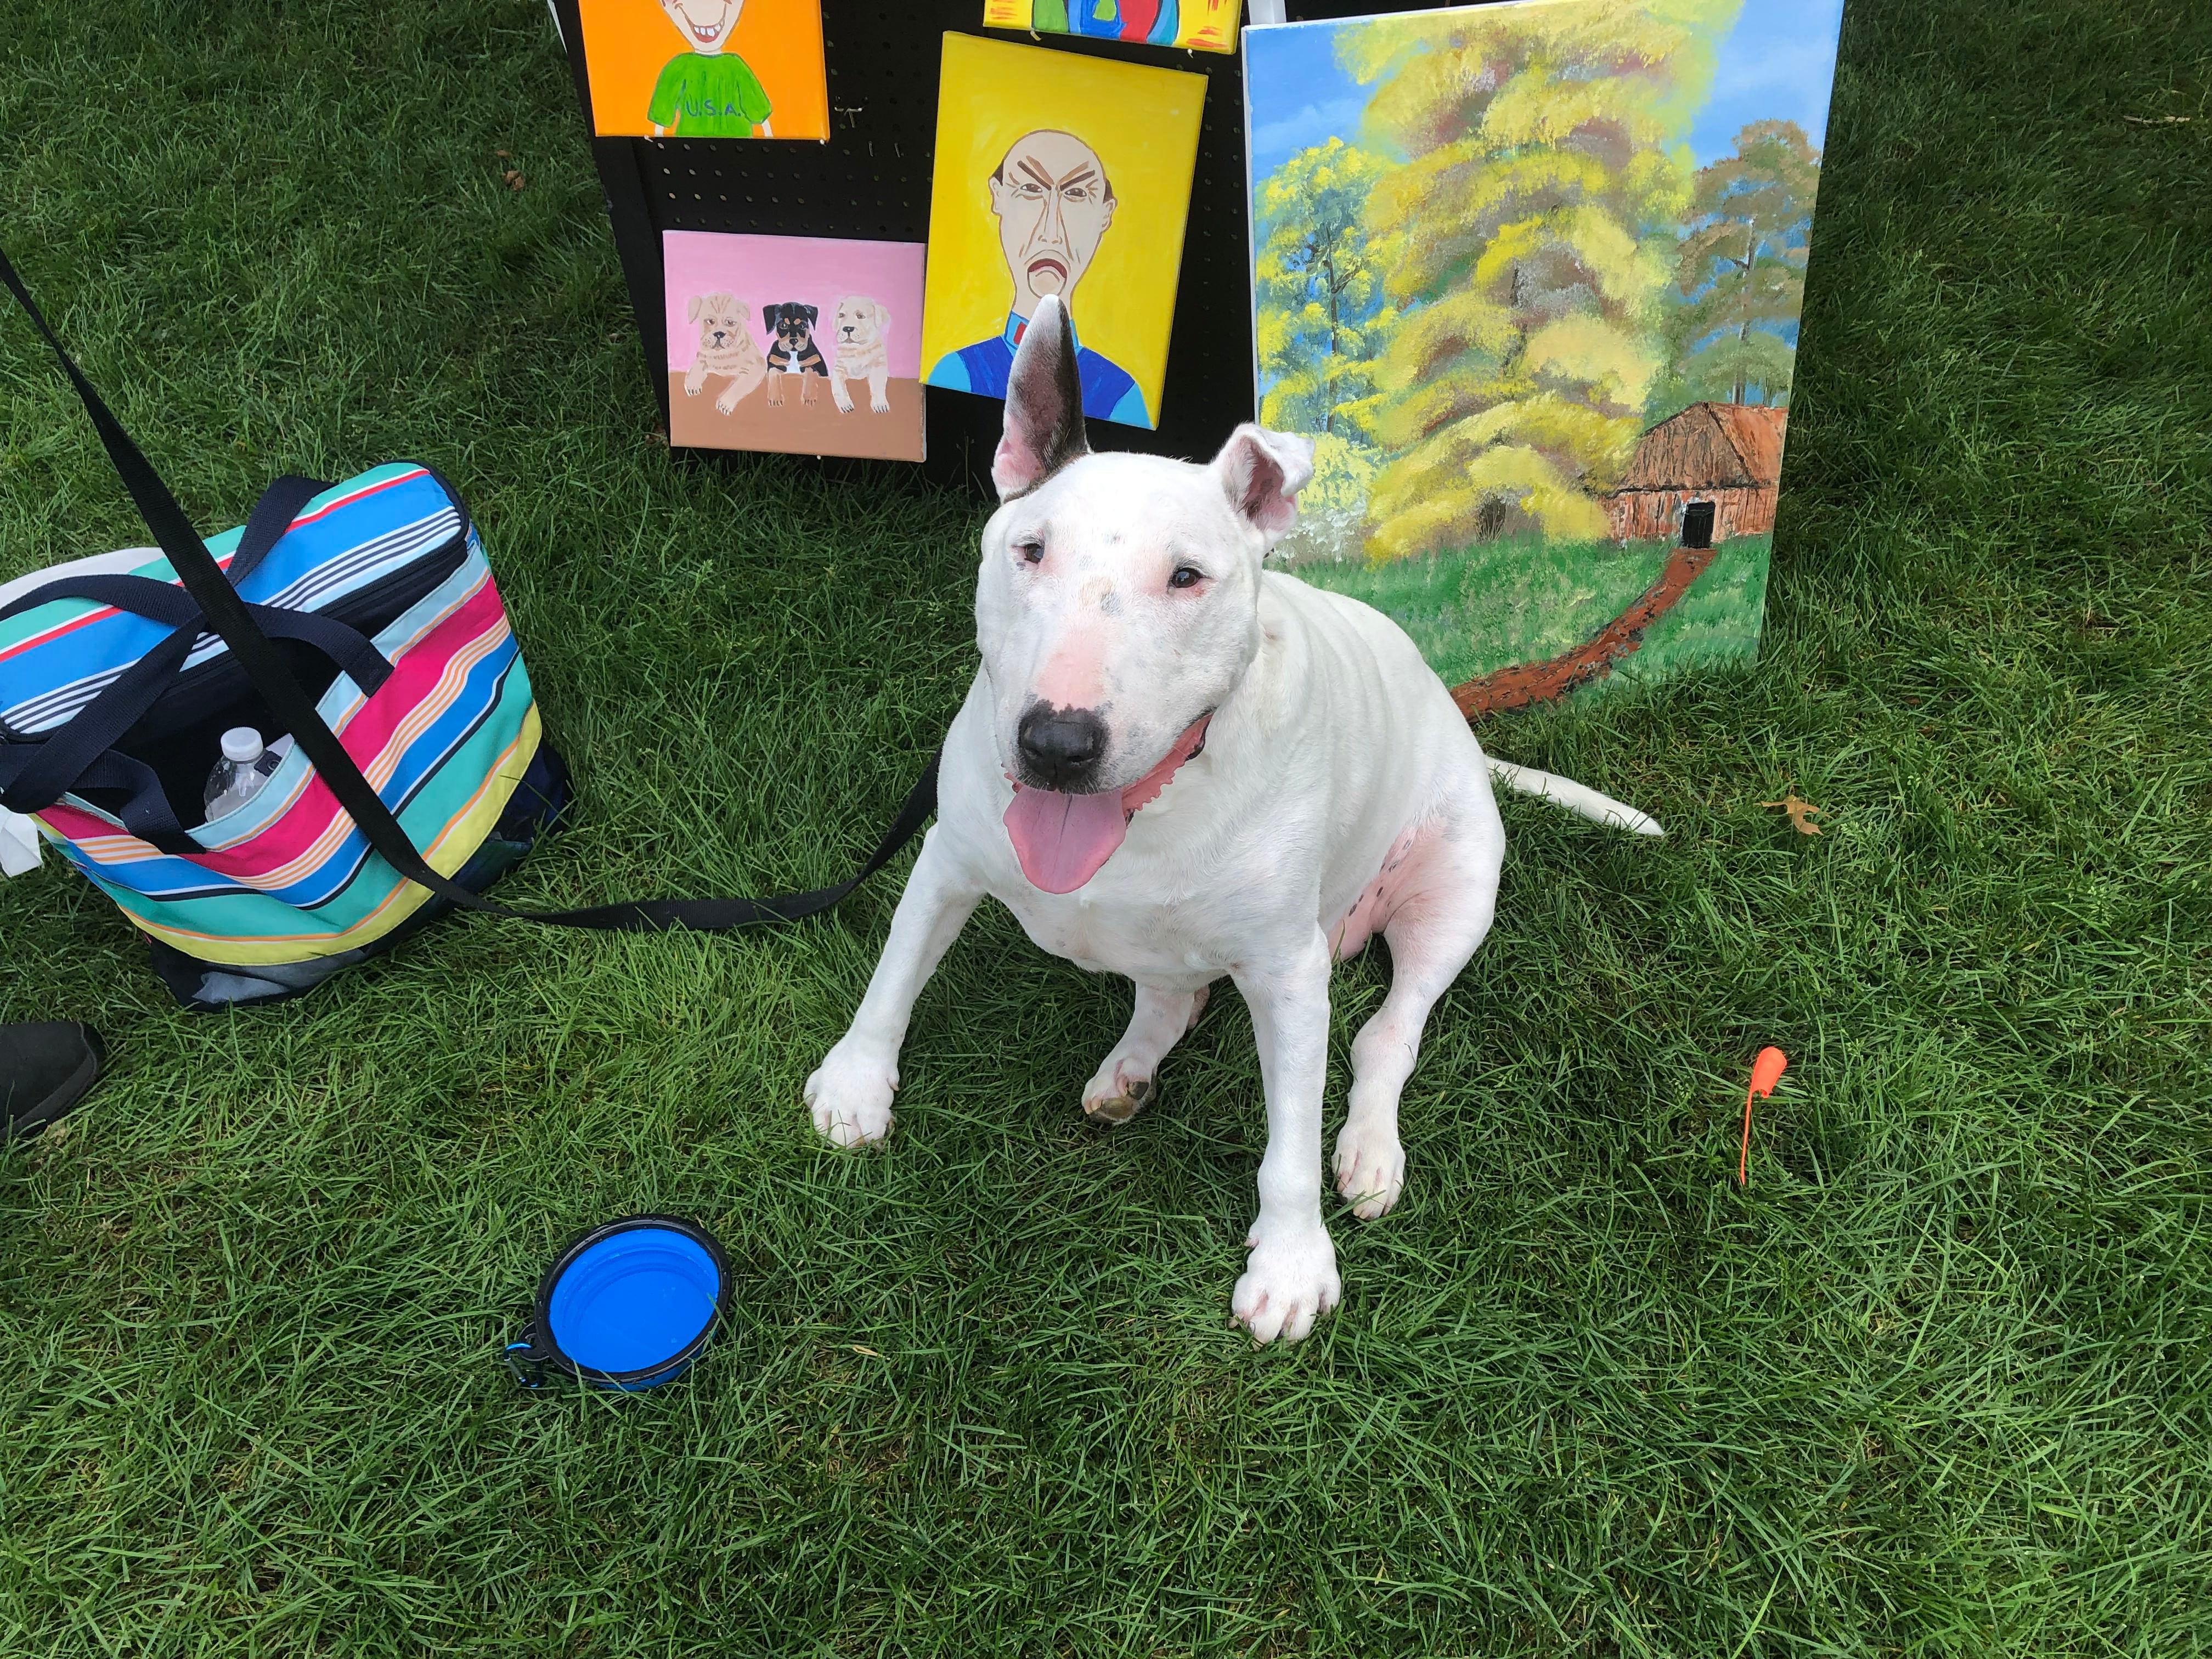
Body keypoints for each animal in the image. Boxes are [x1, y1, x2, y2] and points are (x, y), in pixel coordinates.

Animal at [800, 298, 1663, 1353]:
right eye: (1030, 549)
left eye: (1187, 577)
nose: (1056, 743)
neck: (1151, 805)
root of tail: (1457, 721)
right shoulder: (950, 859)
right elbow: (893, 976)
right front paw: (856, 1083)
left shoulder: (1287, 972)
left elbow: (1287, 1144)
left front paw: (1290, 1264)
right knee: (1172, 999)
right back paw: (1128, 1070)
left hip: (1455, 889)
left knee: (1388, 1033)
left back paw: (1369, 1149)